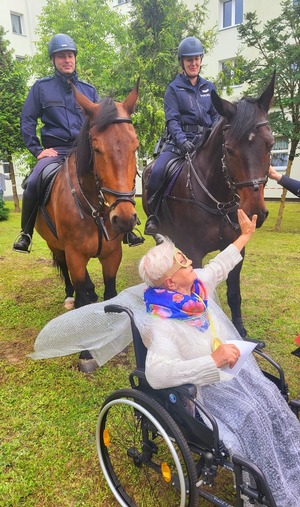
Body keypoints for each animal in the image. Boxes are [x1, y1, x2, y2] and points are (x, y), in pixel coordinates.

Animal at [34, 81, 140, 310]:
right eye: (97, 148)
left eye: (135, 146)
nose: (124, 218)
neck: (95, 210)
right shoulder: (74, 256)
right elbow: (80, 295)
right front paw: (80, 297)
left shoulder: (112, 255)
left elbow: (110, 293)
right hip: (55, 245)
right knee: (63, 266)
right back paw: (69, 295)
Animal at [142, 74, 276, 338]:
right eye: (229, 149)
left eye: (270, 143)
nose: (255, 211)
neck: (218, 201)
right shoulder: (194, 253)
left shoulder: (238, 248)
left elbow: (234, 293)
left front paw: (240, 330)